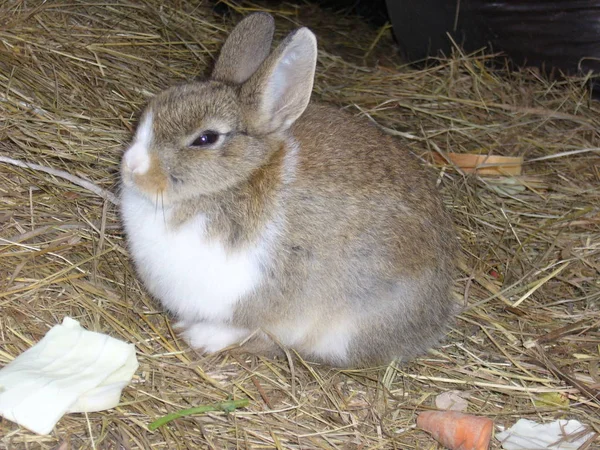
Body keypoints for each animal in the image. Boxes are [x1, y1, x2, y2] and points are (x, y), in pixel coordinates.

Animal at [120, 12, 460, 368]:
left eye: (206, 138)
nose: (132, 166)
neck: (238, 181)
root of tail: (435, 318)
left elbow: (257, 330)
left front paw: (202, 335)